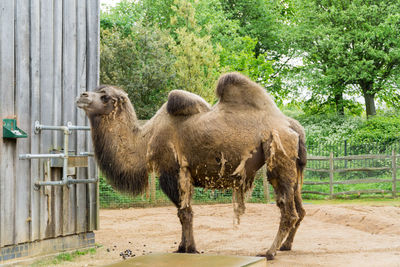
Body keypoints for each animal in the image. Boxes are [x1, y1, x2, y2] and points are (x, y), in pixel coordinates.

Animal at [76, 72, 306, 260]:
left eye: (105, 96)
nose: (82, 96)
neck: (146, 141)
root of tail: (291, 125)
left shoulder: (174, 172)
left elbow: (184, 212)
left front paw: (188, 248)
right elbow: (184, 213)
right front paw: (183, 247)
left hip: (278, 153)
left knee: (288, 210)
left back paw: (269, 251)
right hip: (293, 166)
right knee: (300, 208)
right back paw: (286, 246)